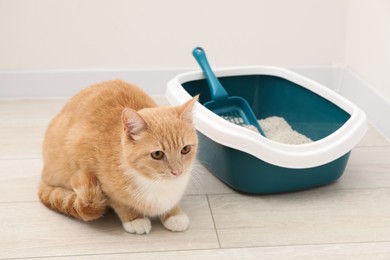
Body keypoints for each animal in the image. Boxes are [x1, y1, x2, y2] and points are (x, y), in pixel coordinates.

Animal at [37, 80, 198, 235]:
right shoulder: (83, 154)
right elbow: (119, 202)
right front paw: (134, 218)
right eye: (157, 154)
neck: (153, 181)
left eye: (185, 149)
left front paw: (173, 214)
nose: (178, 172)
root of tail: (44, 172)